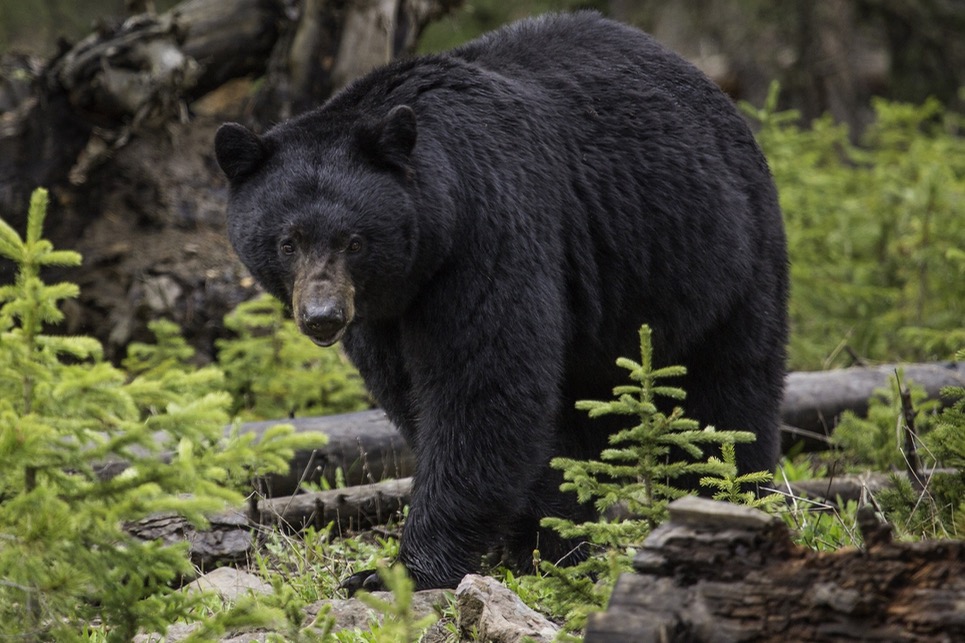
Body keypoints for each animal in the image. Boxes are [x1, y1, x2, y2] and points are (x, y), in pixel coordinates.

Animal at [215, 11, 788, 592]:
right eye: (288, 242)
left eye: (354, 241)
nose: (322, 317)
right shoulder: (384, 313)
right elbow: (413, 393)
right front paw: (536, 540)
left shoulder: (489, 231)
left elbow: (483, 388)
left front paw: (401, 571)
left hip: (720, 258)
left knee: (728, 393)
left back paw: (727, 497)